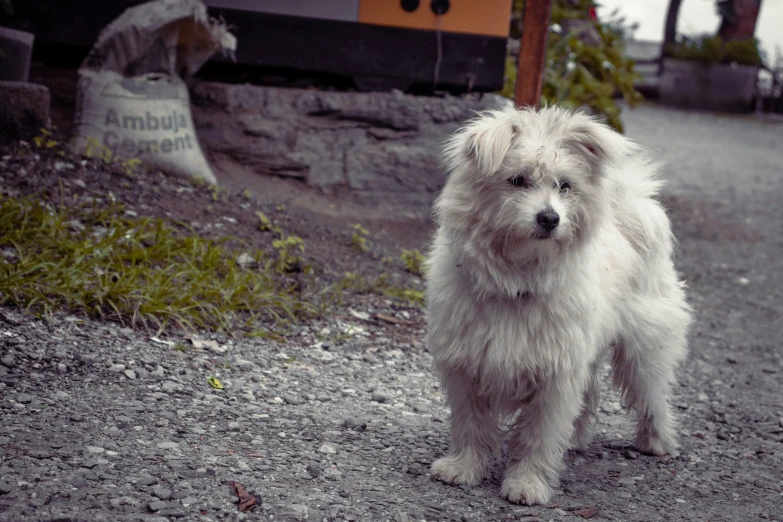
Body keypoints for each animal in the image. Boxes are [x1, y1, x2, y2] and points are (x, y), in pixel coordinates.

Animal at [428, 106, 692, 504]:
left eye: (564, 186)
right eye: (518, 180)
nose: (550, 218)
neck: (518, 280)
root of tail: (628, 212)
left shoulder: (555, 377)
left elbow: (539, 435)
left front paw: (527, 483)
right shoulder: (465, 367)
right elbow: (471, 422)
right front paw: (465, 467)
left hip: (644, 347)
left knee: (652, 393)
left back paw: (657, 441)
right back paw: (579, 439)